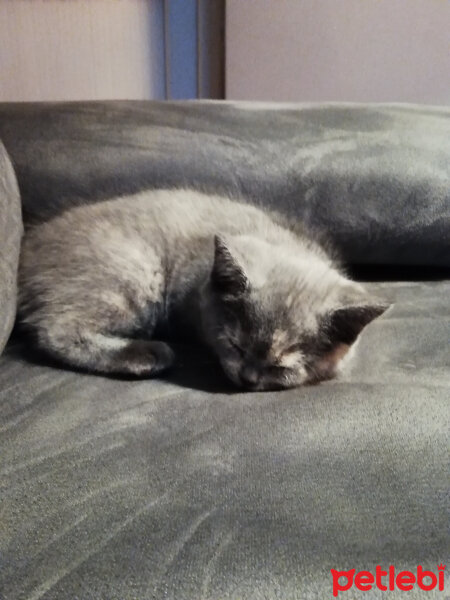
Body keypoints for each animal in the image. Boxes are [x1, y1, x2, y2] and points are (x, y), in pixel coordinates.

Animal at [19, 190, 388, 392]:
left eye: (281, 366)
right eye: (236, 346)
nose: (248, 379)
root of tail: (28, 247)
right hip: (135, 272)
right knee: (56, 330)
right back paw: (146, 355)